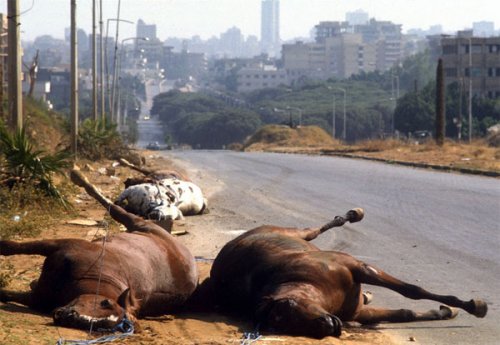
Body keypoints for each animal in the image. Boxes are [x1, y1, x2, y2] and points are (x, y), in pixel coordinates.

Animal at [0, 169, 198, 330]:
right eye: (105, 303)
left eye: (107, 325)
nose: (75, 319)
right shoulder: (61, 244)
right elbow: (13, 246)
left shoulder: (37, 298)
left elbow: (7, 294)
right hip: (137, 222)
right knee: (112, 207)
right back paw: (80, 178)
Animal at [210, 208, 488, 338]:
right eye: (282, 325)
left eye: (289, 307)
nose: (328, 326)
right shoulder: (357, 313)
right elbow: (403, 312)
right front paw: (445, 312)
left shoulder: (360, 267)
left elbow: (412, 291)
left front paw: (472, 305)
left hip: (296, 233)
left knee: (316, 229)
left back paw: (352, 215)